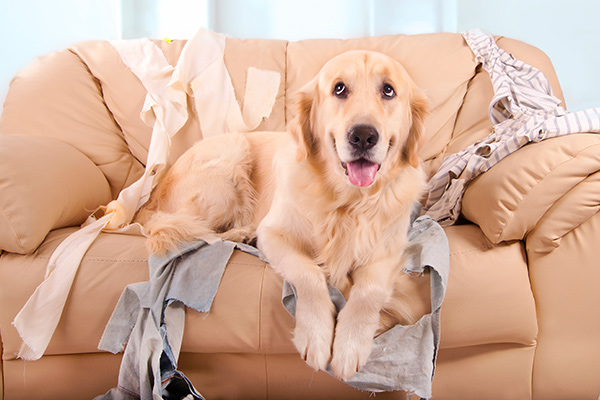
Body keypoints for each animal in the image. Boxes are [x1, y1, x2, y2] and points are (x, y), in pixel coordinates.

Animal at [134, 50, 428, 382]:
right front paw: (316, 336)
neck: (347, 202)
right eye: (339, 89)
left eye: (388, 90)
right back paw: (241, 233)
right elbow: (309, 274)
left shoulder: (390, 249)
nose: (363, 135)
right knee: (195, 229)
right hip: (231, 154)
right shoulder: (274, 234)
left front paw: (351, 345)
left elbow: (369, 291)